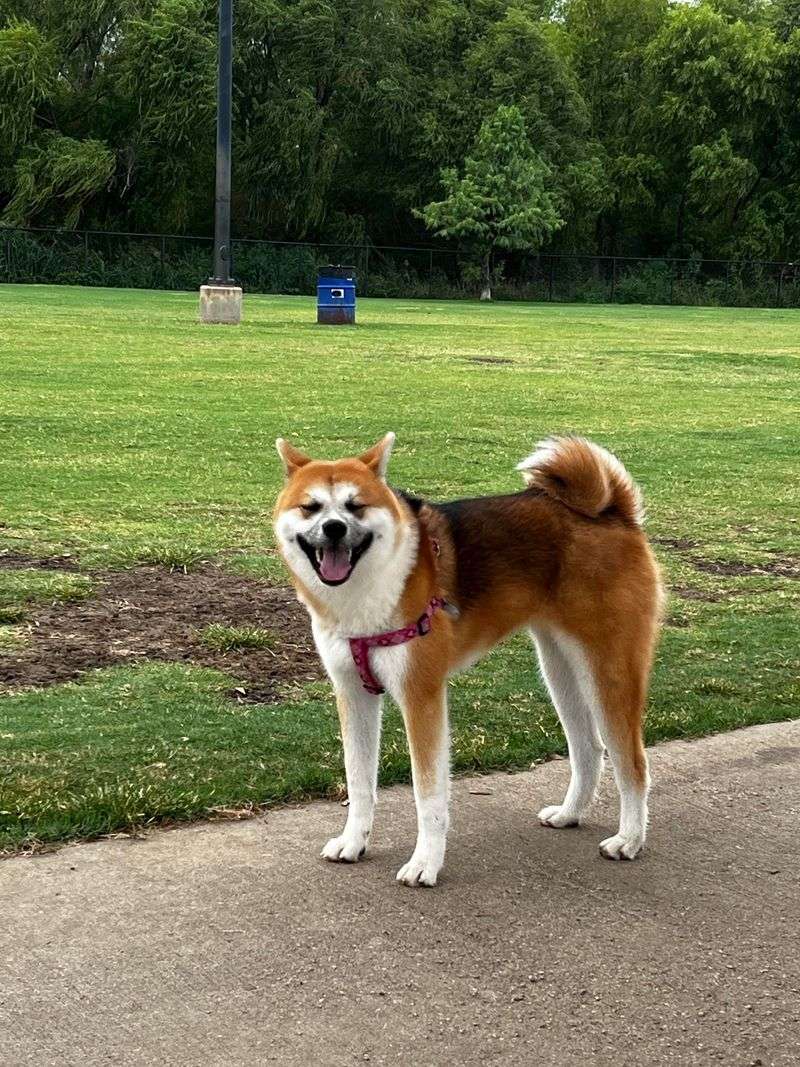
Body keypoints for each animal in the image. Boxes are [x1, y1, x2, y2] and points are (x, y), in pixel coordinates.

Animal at [275, 428, 665, 887]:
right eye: (311, 507)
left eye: (356, 506)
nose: (333, 528)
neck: (366, 593)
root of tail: (611, 512)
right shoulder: (353, 694)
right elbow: (359, 782)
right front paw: (354, 842)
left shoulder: (421, 696)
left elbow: (428, 794)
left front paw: (425, 863)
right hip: (560, 669)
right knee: (588, 749)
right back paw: (570, 814)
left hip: (609, 669)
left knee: (633, 764)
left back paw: (630, 839)